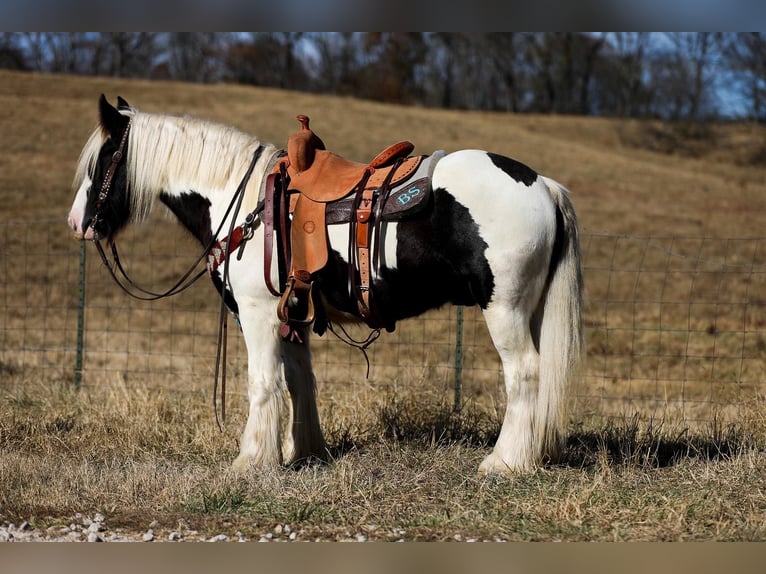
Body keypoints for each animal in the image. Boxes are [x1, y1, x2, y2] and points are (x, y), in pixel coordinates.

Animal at [69, 95, 584, 476]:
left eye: (103, 159)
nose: (78, 223)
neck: (242, 201)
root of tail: (543, 184)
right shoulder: (290, 315)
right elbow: (300, 382)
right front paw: (304, 452)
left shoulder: (257, 313)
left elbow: (262, 381)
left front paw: (252, 461)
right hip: (531, 309)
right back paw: (537, 453)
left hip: (504, 308)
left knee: (525, 373)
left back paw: (505, 462)